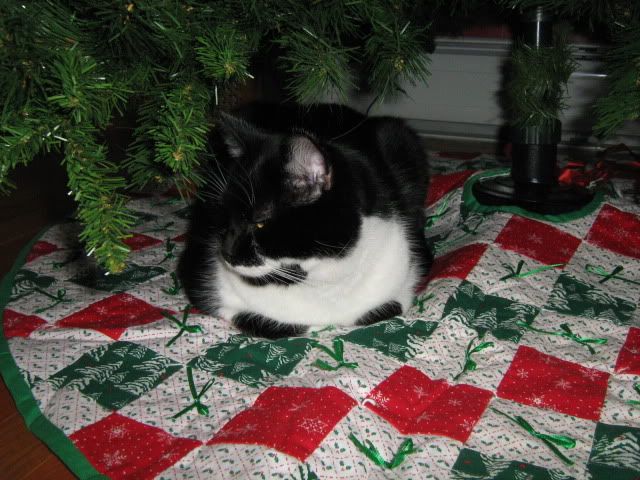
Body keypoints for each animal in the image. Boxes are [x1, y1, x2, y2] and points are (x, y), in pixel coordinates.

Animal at [178, 103, 432, 340]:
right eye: (224, 214)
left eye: (260, 222)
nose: (226, 252)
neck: (321, 282)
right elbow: (266, 322)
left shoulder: (405, 277)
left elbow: (388, 307)